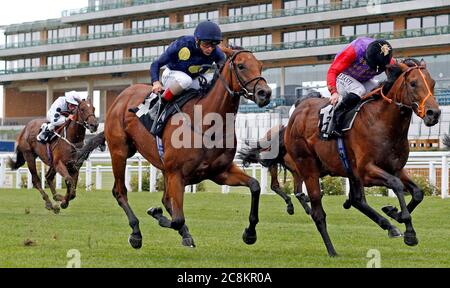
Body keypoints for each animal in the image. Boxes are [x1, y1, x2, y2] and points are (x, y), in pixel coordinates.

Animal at [104, 46, 272, 249]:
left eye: (260, 65)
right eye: (241, 66)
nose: (265, 93)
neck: (207, 123)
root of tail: (122, 95)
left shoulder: (220, 172)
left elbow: (255, 186)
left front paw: (250, 233)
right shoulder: (177, 174)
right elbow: (177, 219)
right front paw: (156, 213)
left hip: (163, 167)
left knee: (165, 200)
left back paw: (184, 234)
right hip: (119, 152)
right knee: (120, 191)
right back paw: (136, 232)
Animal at [284, 59, 440, 256]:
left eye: (433, 83)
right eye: (413, 83)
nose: (434, 113)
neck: (383, 123)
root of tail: (298, 110)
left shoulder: (395, 168)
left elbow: (418, 193)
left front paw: (394, 213)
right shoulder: (367, 171)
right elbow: (396, 185)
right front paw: (409, 231)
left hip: (349, 170)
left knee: (357, 199)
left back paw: (388, 226)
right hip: (308, 168)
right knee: (318, 212)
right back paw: (332, 251)